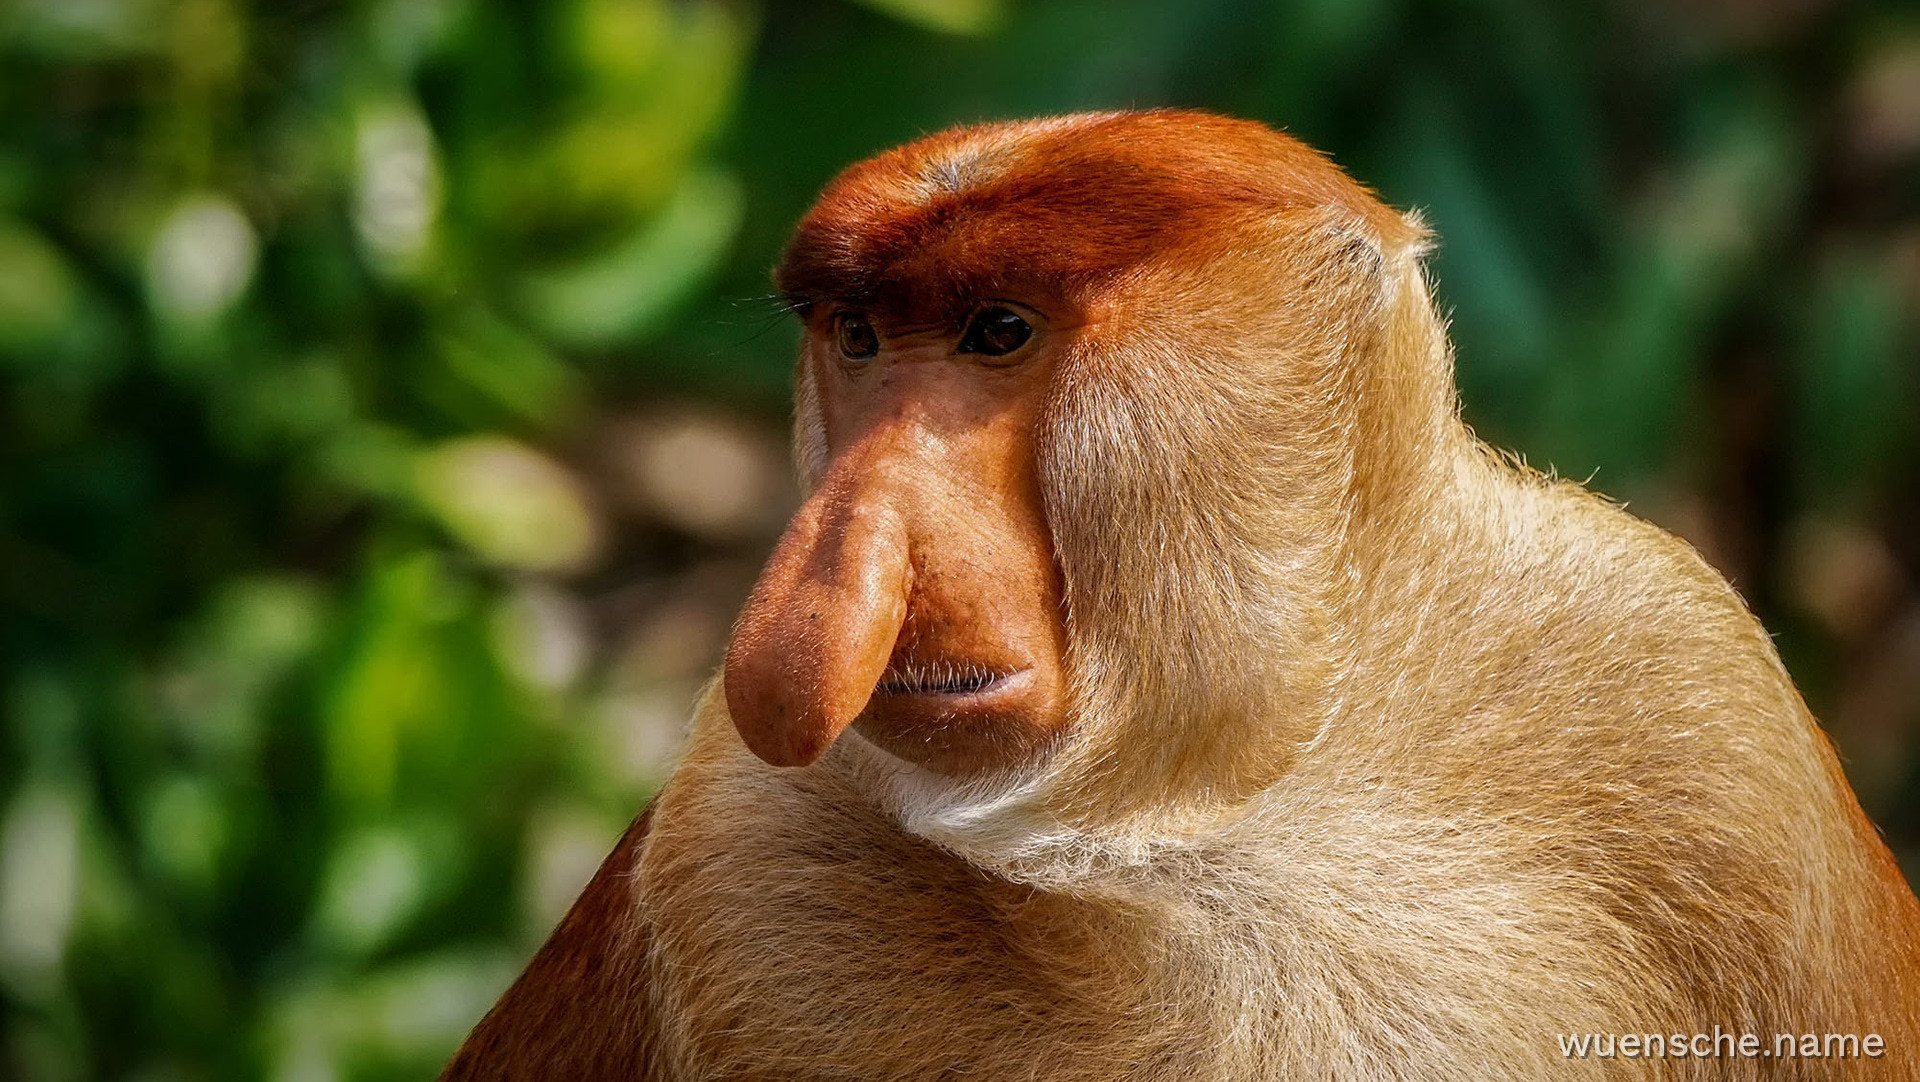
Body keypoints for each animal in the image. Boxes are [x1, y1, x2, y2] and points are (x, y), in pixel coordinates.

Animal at [442, 110, 1920, 1081]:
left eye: (998, 330)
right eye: (857, 340)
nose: (822, 579)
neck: (1240, 807)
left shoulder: (1697, 708)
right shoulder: (739, 852)